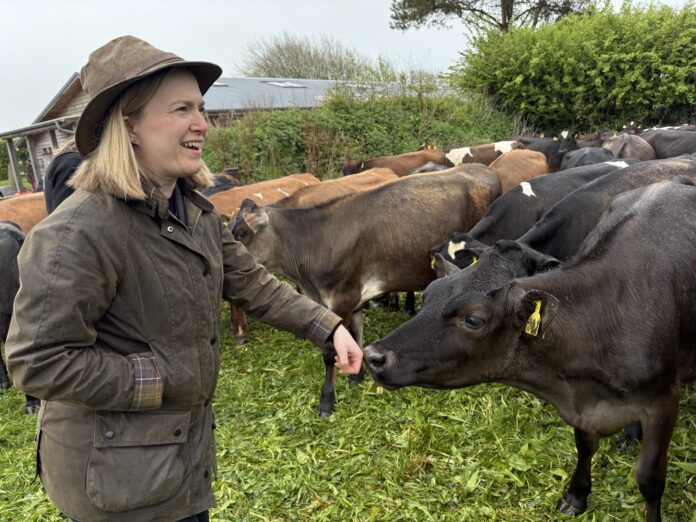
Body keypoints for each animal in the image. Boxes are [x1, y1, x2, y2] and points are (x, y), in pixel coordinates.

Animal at [230, 166, 502, 417]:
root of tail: (482, 168)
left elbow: (331, 351)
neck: (313, 242)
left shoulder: (342, 297)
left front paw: (327, 400)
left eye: (242, 232)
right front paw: (356, 375)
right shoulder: (353, 298)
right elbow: (355, 334)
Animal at [364, 177, 696, 522]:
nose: (373, 355)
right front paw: (576, 496)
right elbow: (584, 446)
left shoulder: (663, 402)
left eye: (473, 319)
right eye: (430, 292)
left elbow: (649, 478)